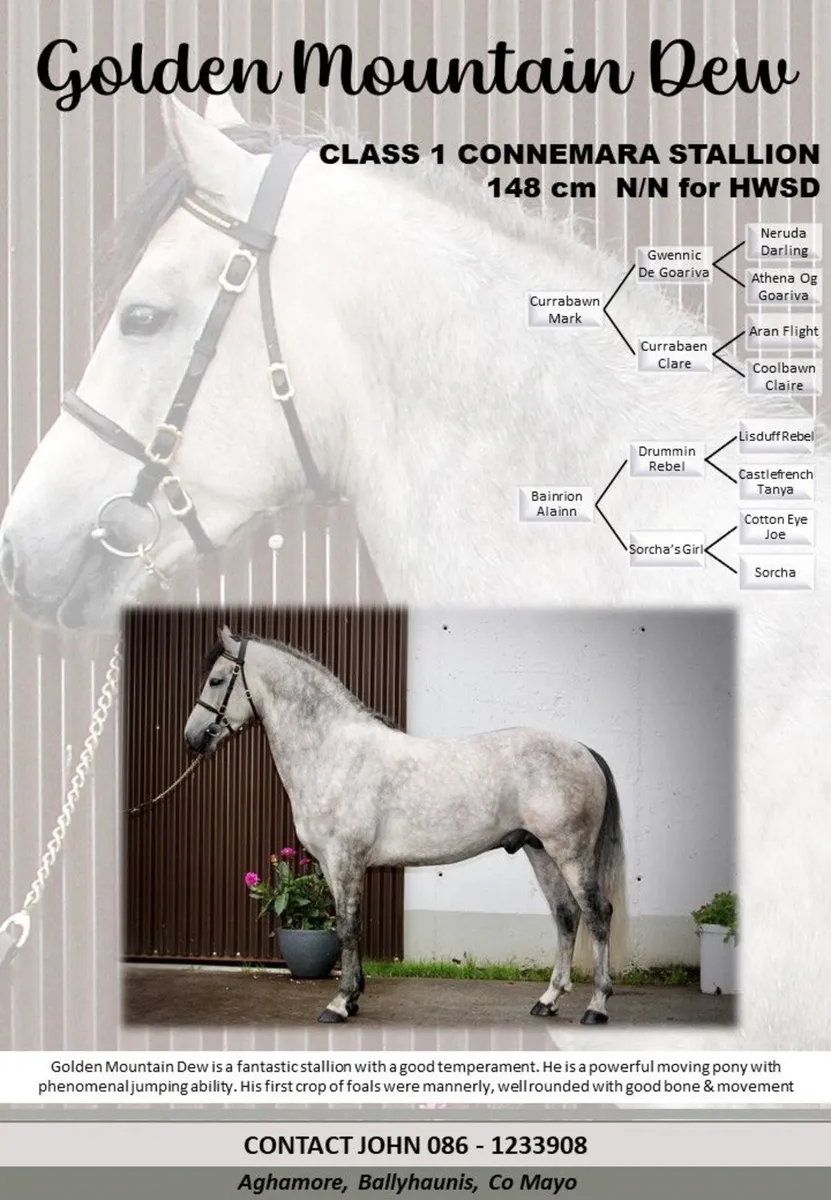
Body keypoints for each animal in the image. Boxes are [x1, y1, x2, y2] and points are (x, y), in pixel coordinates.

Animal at [184, 627, 626, 1026]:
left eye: (216, 680)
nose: (192, 739)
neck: (333, 752)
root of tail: (584, 750)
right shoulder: (332, 863)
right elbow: (351, 927)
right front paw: (354, 998)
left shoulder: (345, 860)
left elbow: (347, 927)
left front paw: (339, 1004)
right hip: (541, 851)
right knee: (566, 915)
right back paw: (548, 1000)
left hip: (570, 852)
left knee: (597, 913)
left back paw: (596, 1007)